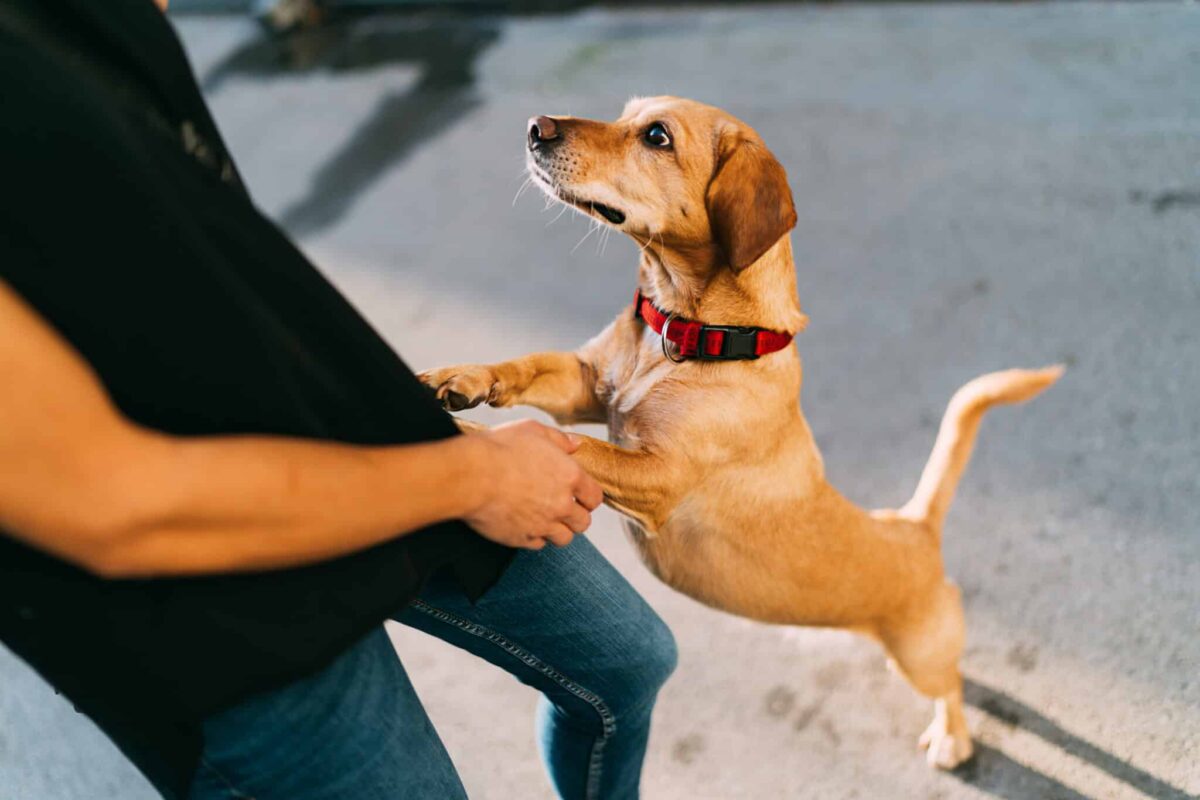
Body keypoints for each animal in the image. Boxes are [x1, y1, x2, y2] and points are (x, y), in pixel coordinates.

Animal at [420, 97, 1060, 772]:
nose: (534, 128)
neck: (687, 331)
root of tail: (913, 525)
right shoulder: (582, 387)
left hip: (922, 657)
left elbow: (575, 449)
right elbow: (522, 368)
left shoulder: (655, 476)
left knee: (952, 685)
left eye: (657, 137)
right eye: (625, 113)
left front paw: (466, 440)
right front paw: (460, 380)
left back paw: (950, 736)